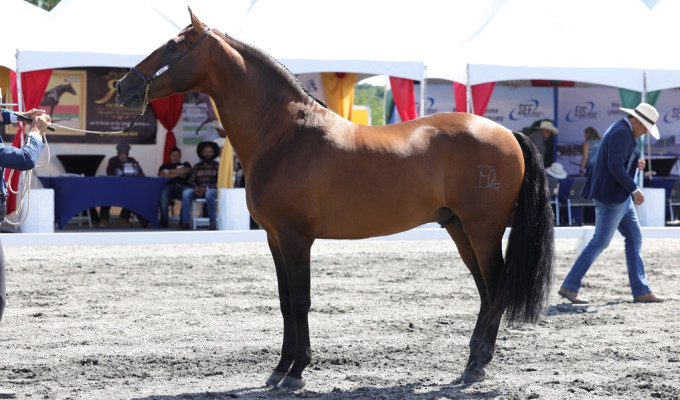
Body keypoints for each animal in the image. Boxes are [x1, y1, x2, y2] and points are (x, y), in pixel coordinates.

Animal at [115, 9, 555, 391]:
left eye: (173, 46)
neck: (283, 135)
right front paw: (279, 370)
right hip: (458, 228)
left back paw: (476, 365)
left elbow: (300, 301)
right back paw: (471, 362)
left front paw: (296, 373)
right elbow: (284, 302)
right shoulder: (274, 238)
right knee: (485, 290)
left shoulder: (297, 238)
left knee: (495, 286)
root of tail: (505, 132)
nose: (123, 87)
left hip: (483, 230)